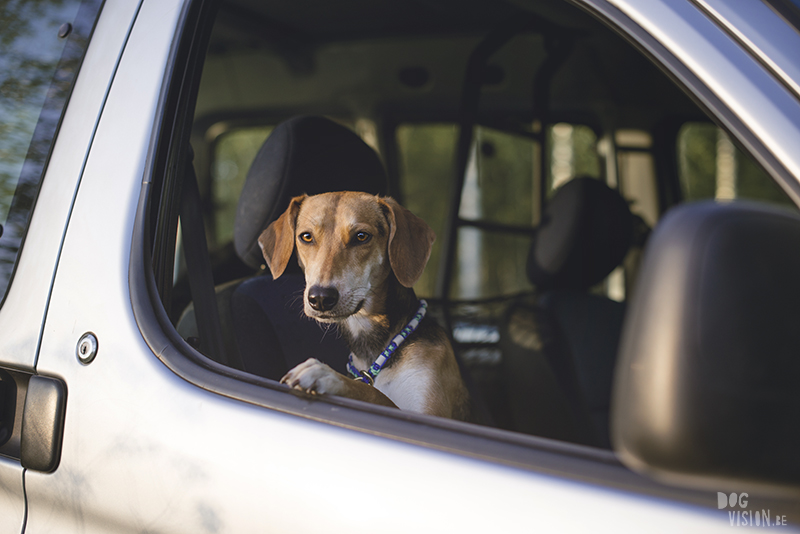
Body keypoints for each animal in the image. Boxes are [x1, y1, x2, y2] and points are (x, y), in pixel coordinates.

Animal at [258, 193, 468, 422]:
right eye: (306, 237)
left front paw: (327, 375)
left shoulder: (429, 414)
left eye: (361, 236)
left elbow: (377, 395)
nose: (320, 298)